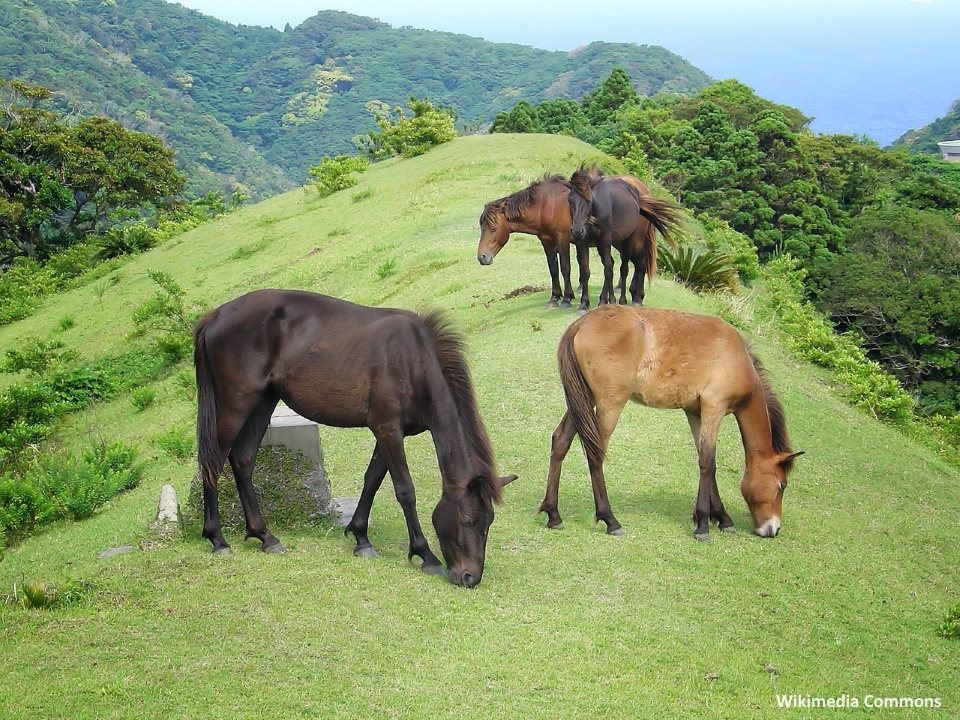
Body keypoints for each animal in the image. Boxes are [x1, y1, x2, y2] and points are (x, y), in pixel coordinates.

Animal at [194, 289, 516, 587]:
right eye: (468, 520)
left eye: (489, 521)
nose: (470, 577)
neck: (412, 360)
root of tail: (216, 315)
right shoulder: (388, 430)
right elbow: (405, 491)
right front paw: (425, 554)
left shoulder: (388, 433)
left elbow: (372, 480)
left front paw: (361, 538)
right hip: (234, 406)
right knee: (213, 464)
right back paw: (218, 539)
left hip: (263, 403)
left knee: (242, 460)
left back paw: (264, 536)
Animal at [539, 305, 802, 541]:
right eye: (782, 486)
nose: (773, 529)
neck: (738, 358)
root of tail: (581, 323)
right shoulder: (714, 408)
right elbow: (709, 464)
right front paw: (704, 524)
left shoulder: (696, 413)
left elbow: (705, 460)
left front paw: (721, 517)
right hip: (609, 403)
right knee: (596, 454)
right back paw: (610, 520)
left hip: (584, 398)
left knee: (560, 441)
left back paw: (553, 514)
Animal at [567, 166, 682, 310]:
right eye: (570, 200)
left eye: (589, 201)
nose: (577, 230)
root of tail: (639, 195)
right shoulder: (583, 242)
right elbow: (586, 270)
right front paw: (584, 304)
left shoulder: (605, 240)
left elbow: (608, 269)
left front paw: (607, 301)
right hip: (620, 242)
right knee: (630, 265)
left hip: (634, 241)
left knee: (636, 265)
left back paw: (634, 299)